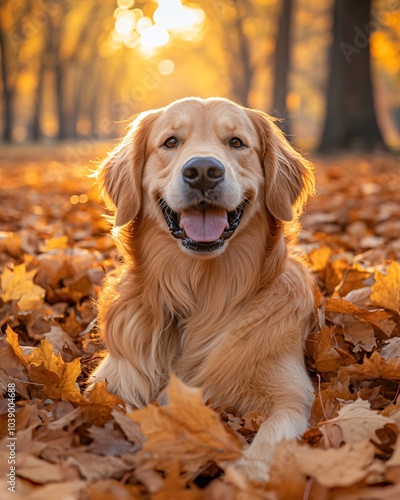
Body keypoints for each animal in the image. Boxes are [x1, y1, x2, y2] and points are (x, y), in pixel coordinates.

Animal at [90, 96, 316, 480]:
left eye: (237, 142)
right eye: (170, 142)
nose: (203, 171)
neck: (203, 293)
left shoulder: (291, 395)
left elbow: (268, 442)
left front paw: (245, 478)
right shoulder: (114, 378)